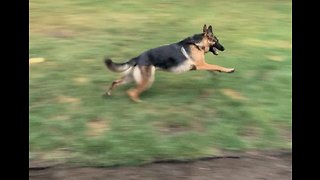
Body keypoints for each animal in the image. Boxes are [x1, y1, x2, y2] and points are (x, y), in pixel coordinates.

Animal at [104, 24, 234, 102]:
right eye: (217, 40)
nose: (224, 48)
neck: (197, 44)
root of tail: (138, 57)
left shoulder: (201, 65)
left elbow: (213, 68)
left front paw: (216, 74)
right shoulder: (200, 65)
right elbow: (216, 66)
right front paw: (229, 70)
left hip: (132, 77)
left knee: (116, 82)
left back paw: (108, 93)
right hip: (147, 80)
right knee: (131, 92)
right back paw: (139, 102)